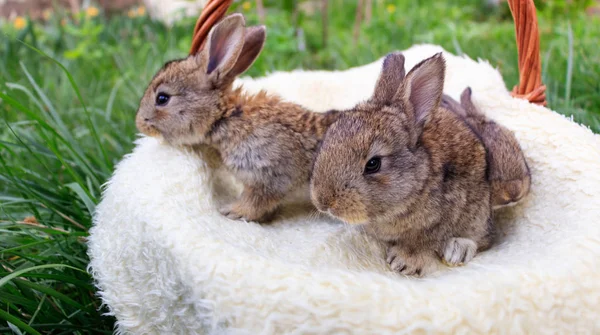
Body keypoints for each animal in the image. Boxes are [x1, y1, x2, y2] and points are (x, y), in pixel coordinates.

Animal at [137, 13, 342, 223]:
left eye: (162, 98)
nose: (140, 124)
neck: (225, 117)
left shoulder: (269, 174)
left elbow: (257, 200)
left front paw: (232, 211)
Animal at [310, 52, 492, 276]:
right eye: (329, 137)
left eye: (373, 164)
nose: (323, 202)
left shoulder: (440, 221)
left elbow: (423, 242)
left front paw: (403, 263)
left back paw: (457, 250)